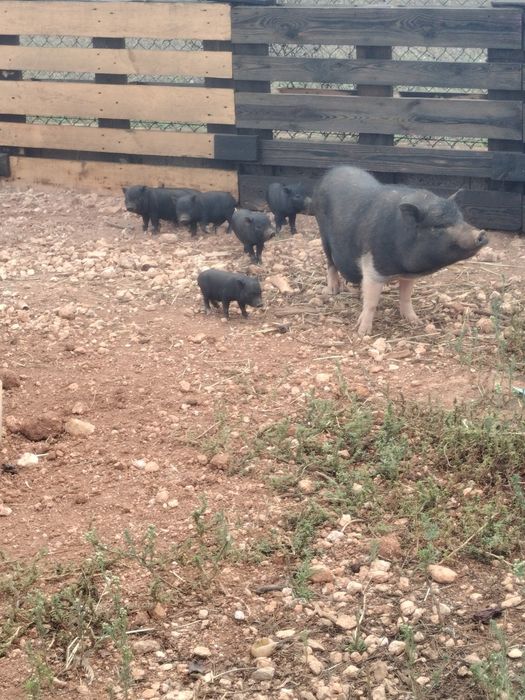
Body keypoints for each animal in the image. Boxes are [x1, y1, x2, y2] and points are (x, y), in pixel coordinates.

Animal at [312, 166, 488, 336]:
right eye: (438, 226)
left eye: (461, 218)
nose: (481, 234)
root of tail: (331, 172)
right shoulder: (372, 268)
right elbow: (371, 303)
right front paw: (362, 332)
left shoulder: (407, 275)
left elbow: (405, 297)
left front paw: (416, 322)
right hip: (323, 234)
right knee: (330, 263)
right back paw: (333, 290)